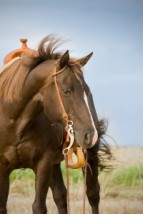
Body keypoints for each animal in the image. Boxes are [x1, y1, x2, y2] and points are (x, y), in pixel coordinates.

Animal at [0, 36, 110, 213]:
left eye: (86, 91)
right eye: (66, 91)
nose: (89, 135)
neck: (15, 124)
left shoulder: (44, 163)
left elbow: (39, 206)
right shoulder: (3, 168)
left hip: (87, 155)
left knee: (93, 194)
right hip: (56, 164)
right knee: (61, 196)